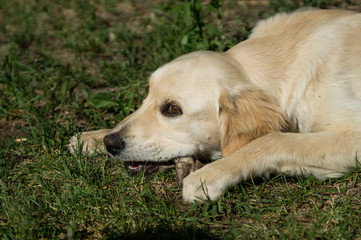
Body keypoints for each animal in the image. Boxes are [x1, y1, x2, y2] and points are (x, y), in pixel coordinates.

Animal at [69, 8, 360, 202]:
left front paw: (210, 175)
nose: (111, 143)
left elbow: (272, 140)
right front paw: (91, 138)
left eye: (173, 109)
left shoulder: (354, 135)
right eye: (147, 95)